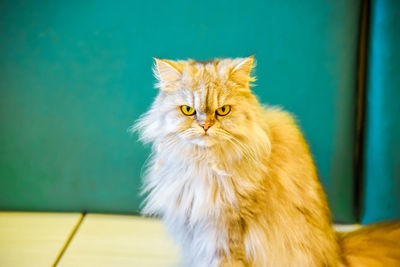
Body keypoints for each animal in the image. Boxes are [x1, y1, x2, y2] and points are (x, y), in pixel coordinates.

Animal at [134, 57, 400, 267]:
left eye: (223, 110)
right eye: (188, 110)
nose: (205, 126)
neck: (205, 164)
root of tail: (338, 251)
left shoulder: (224, 233)